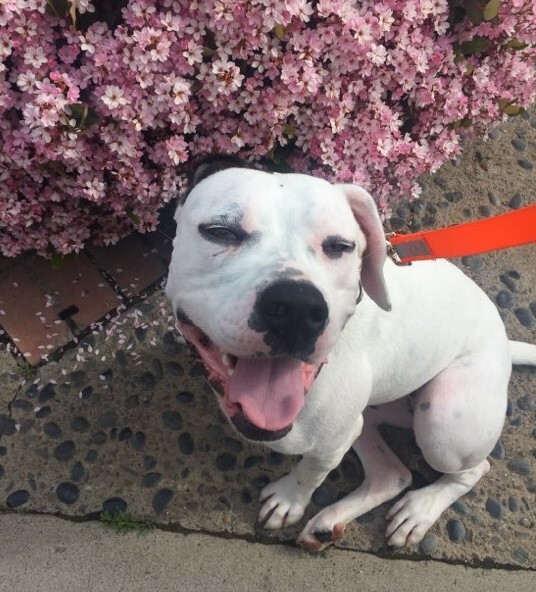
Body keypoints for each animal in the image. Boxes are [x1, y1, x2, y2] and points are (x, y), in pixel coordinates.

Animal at [165, 158, 532, 552]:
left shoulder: (327, 444)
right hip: (366, 416)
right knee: (393, 474)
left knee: (473, 469)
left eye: (340, 246)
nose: (296, 307)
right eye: (220, 231)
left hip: (442, 427)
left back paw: (419, 510)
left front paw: (289, 500)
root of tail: (504, 341)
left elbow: (310, 473)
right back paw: (330, 522)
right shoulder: (340, 431)